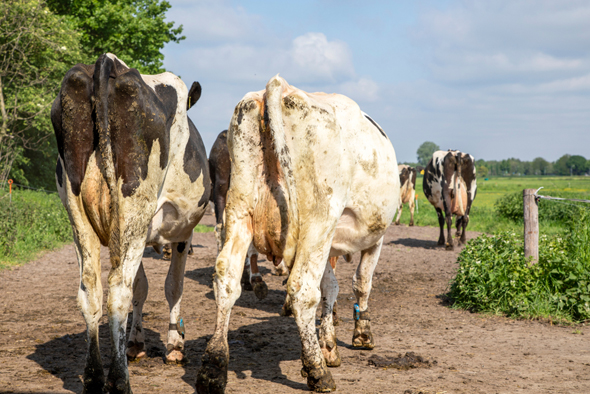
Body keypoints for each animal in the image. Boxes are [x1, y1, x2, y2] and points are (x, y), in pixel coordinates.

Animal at [52, 53, 212, 394]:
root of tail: (107, 62)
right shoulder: (183, 233)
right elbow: (172, 286)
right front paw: (174, 345)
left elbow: (142, 287)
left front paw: (135, 343)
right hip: (133, 209)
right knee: (118, 291)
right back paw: (119, 380)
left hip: (79, 213)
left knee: (91, 290)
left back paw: (94, 377)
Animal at [197, 75, 400, 392]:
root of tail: (280, 88)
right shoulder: (373, 239)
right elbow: (360, 283)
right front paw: (361, 335)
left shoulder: (326, 245)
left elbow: (330, 288)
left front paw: (329, 344)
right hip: (318, 218)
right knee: (303, 290)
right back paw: (317, 371)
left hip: (239, 210)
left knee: (227, 278)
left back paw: (213, 366)